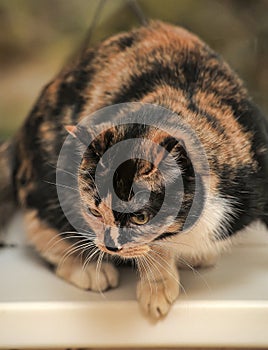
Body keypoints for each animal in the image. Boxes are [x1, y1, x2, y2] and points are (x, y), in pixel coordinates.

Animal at [0, 20, 268, 318]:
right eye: (95, 212)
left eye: (140, 218)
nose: (111, 246)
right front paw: (157, 289)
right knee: (39, 224)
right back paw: (89, 269)